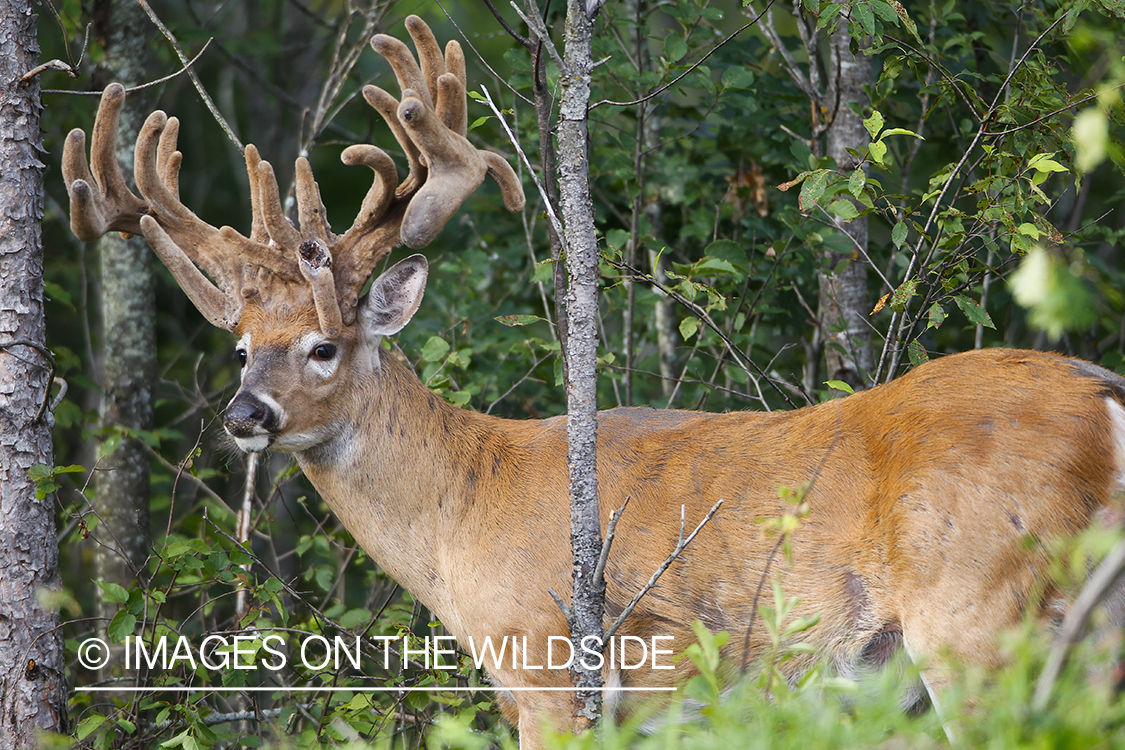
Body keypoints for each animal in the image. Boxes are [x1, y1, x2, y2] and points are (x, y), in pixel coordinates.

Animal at [61, 15, 1125, 750]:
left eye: (323, 346)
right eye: (244, 345)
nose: (244, 415)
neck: (461, 507)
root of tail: (1103, 393)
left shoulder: (547, 662)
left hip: (981, 608)